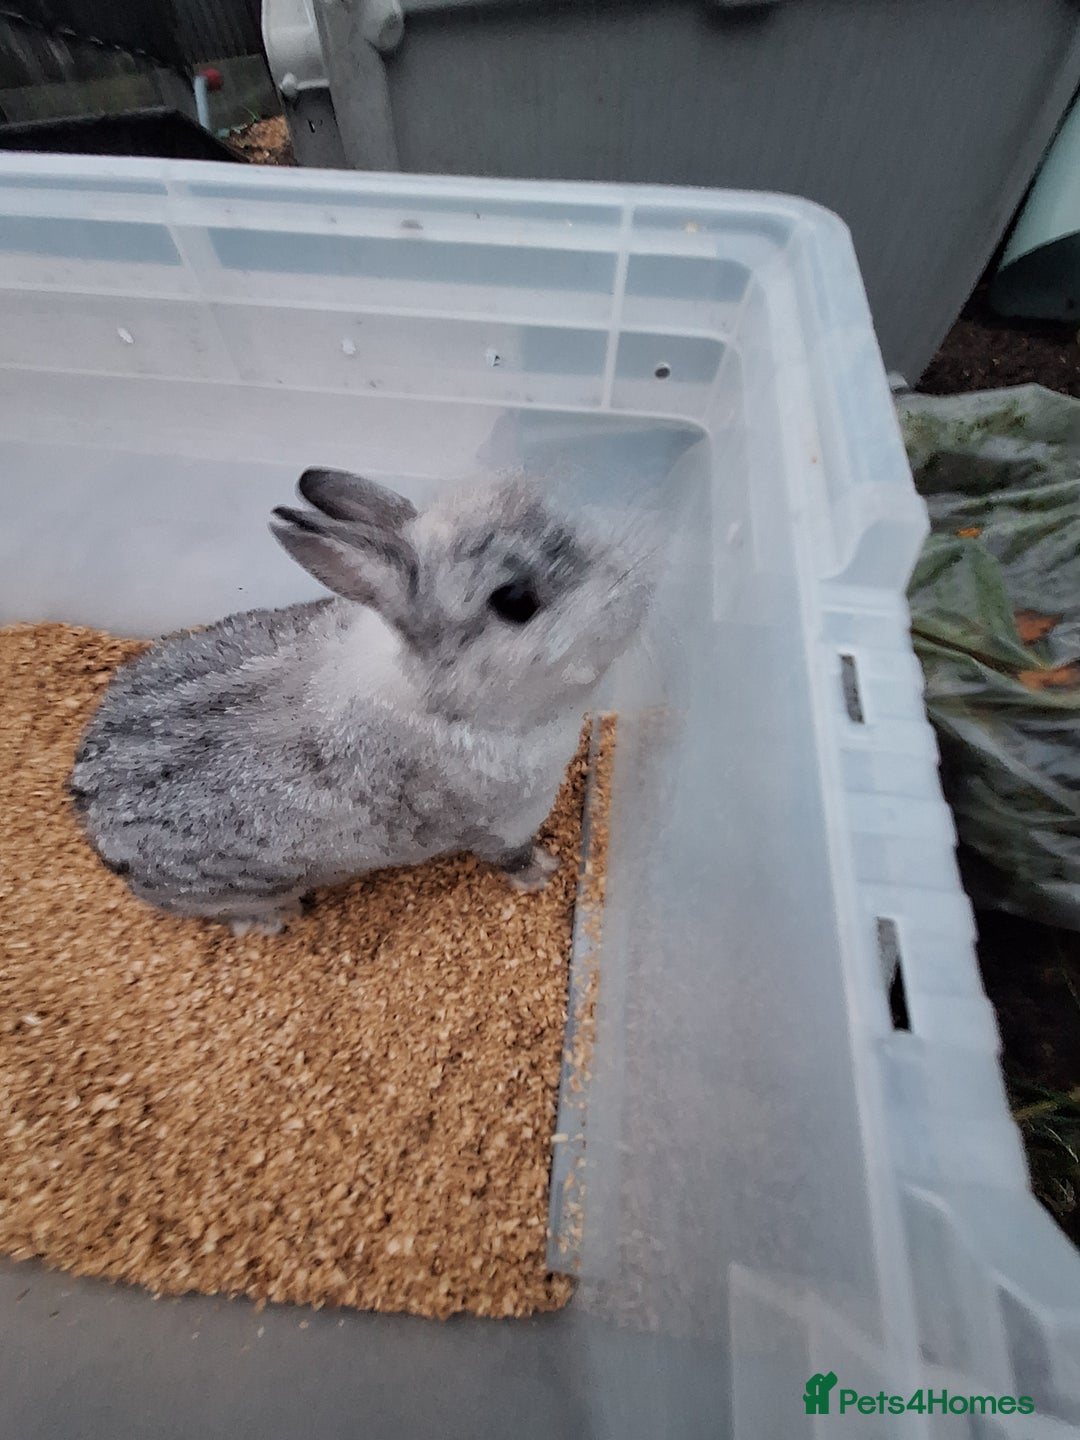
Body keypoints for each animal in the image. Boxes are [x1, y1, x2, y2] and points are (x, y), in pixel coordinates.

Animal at [68, 469, 656, 936]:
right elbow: (511, 857)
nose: (639, 583)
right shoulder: (501, 826)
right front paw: (545, 873)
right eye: (516, 603)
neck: (444, 703)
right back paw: (277, 920)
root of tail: (84, 808)